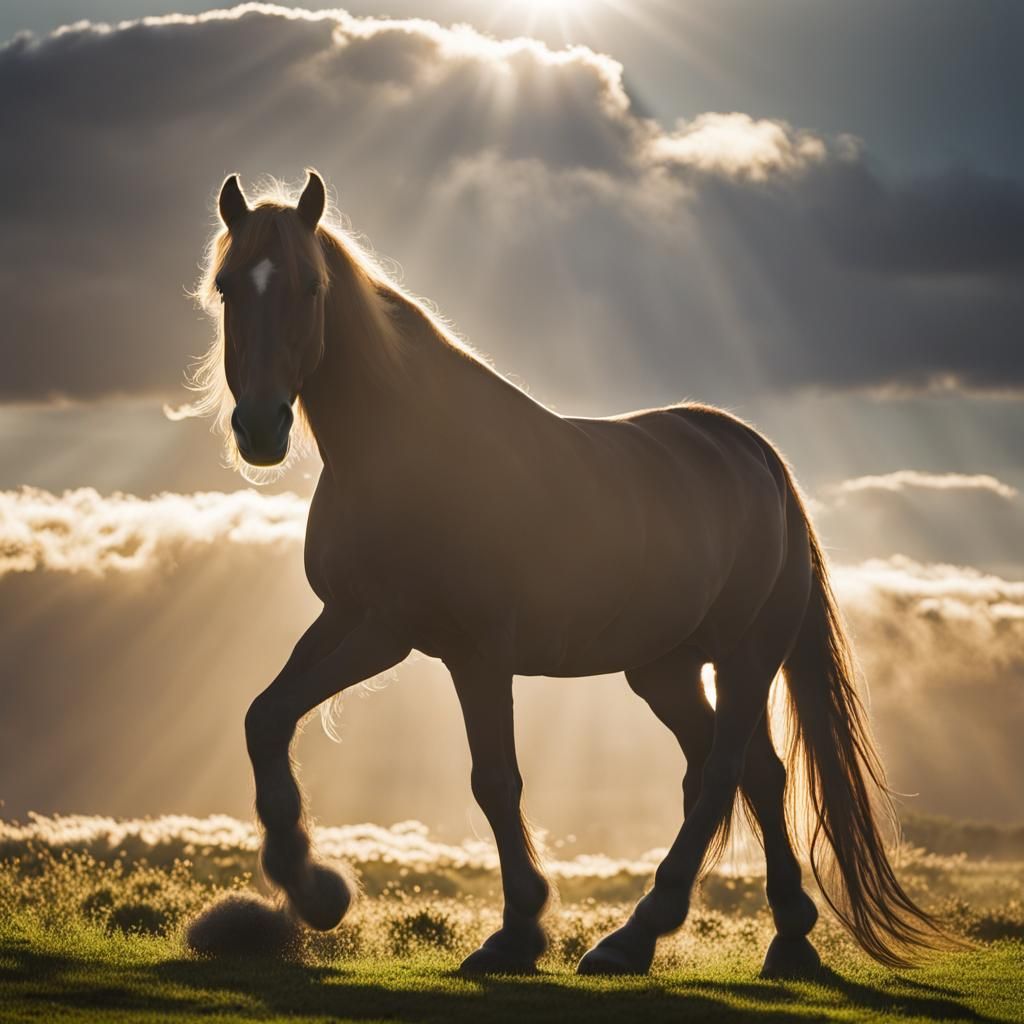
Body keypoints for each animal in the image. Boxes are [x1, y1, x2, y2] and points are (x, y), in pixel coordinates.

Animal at [190, 169, 945, 977]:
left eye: (309, 286)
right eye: (228, 286)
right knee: (751, 772)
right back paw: (782, 934)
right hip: (665, 668)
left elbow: (495, 781)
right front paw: (315, 890)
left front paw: (517, 928)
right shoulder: (356, 621)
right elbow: (266, 716)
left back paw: (640, 932)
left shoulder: (459, 649)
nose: (260, 427)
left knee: (721, 774)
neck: (405, 453)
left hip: (745, 657)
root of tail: (759, 459)